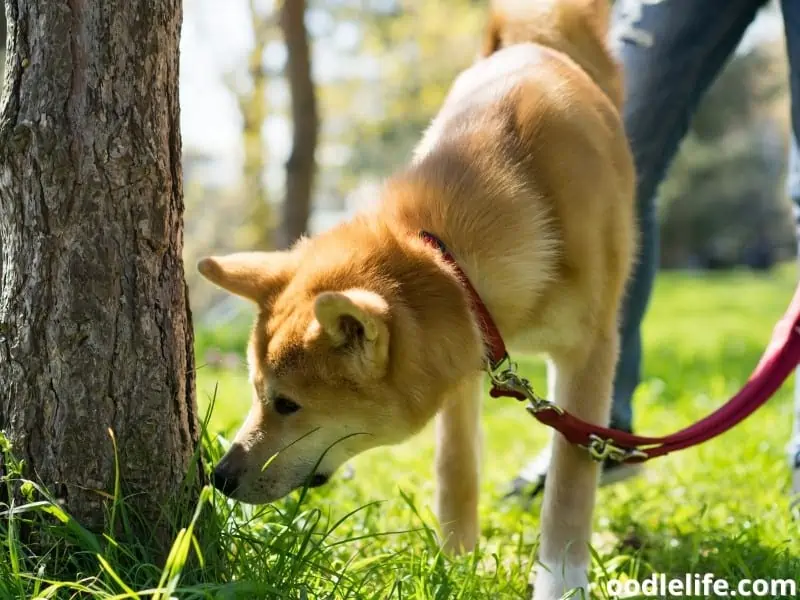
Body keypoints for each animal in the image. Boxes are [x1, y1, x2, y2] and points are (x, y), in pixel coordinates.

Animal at [202, 1, 636, 596]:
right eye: (254, 391)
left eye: (286, 404)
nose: (218, 477)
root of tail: (531, 42)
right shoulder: (470, 348)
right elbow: (455, 467)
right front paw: (455, 564)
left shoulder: (588, 353)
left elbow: (571, 478)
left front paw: (562, 581)